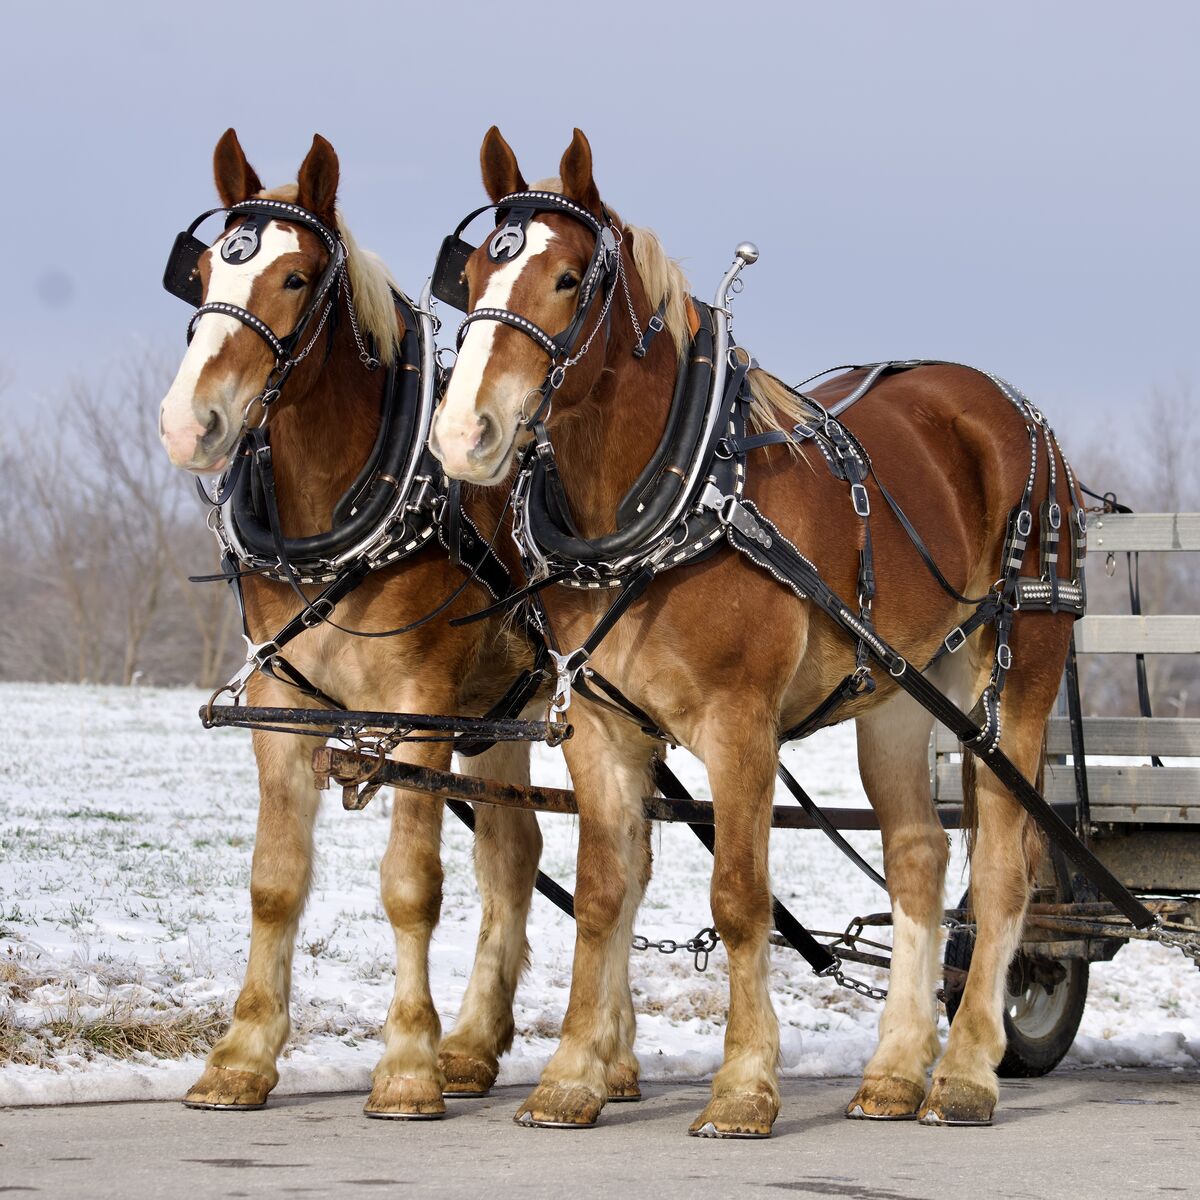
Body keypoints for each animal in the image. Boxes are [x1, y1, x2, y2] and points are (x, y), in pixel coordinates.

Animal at [158, 129, 545, 1118]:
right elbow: (274, 882)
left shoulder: (420, 708)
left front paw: (406, 1064)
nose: (188, 423)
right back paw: (479, 1047)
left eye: (296, 279)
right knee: (516, 853)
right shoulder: (281, 704)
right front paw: (242, 1057)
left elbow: (412, 886)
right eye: (205, 269)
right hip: (506, 712)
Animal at [429, 127, 1081, 1137]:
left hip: (1013, 683)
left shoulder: (742, 725)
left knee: (1006, 873)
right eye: (471, 278)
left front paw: (743, 1086)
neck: (673, 494)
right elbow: (603, 894)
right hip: (900, 692)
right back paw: (896, 1071)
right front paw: (571, 1077)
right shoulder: (601, 729)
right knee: (919, 860)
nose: (466, 434)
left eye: (570, 279)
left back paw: (966, 1073)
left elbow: (740, 897)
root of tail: (1006, 411)